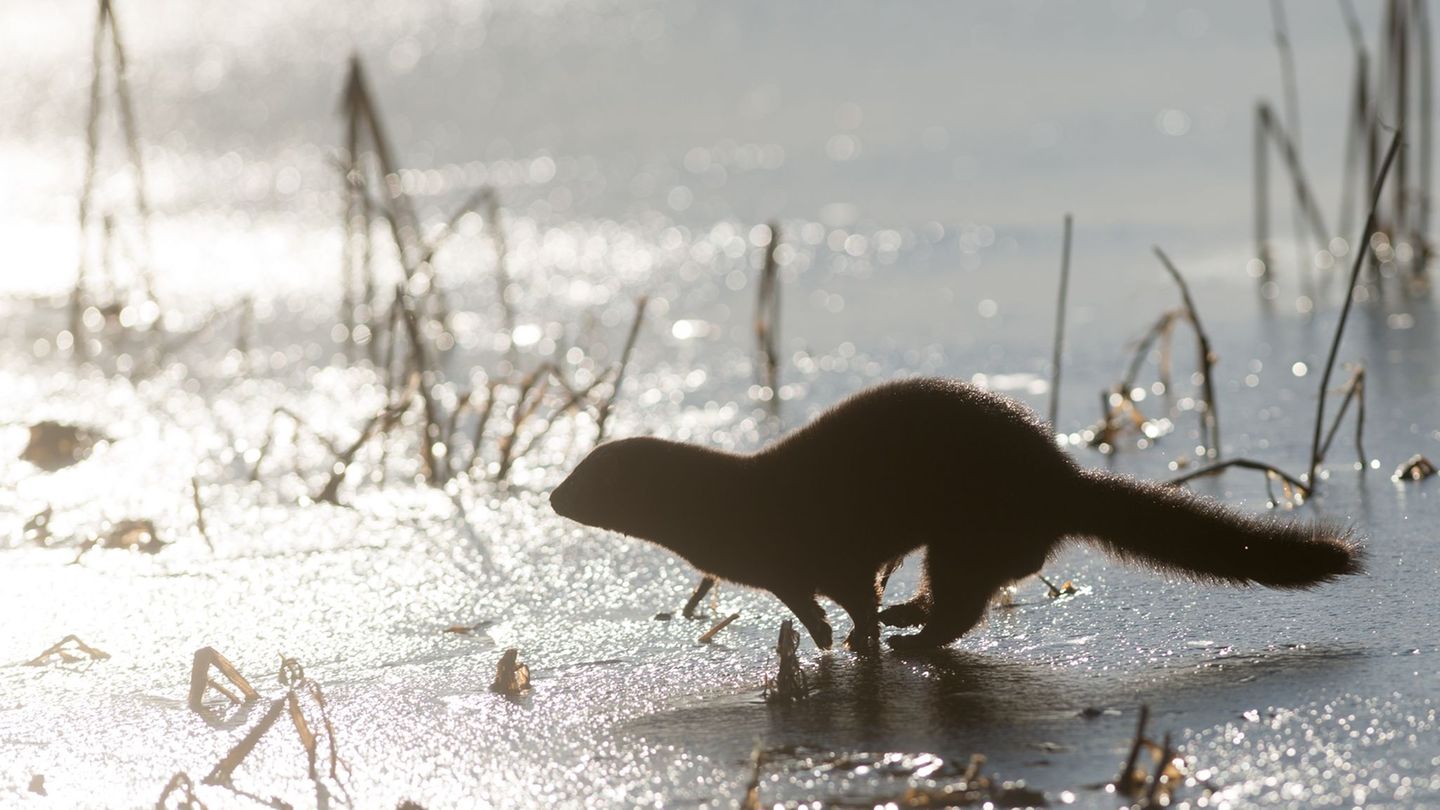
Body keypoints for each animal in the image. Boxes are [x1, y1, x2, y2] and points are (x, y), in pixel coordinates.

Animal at [549, 377, 1362, 652]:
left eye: (585, 477)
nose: (552, 496)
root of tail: (1060, 476)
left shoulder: (826, 551)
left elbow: (846, 590)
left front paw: (855, 640)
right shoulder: (788, 569)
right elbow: (814, 598)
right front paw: (833, 635)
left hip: (967, 528)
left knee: (967, 600)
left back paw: (913, 639)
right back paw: (909, 615)